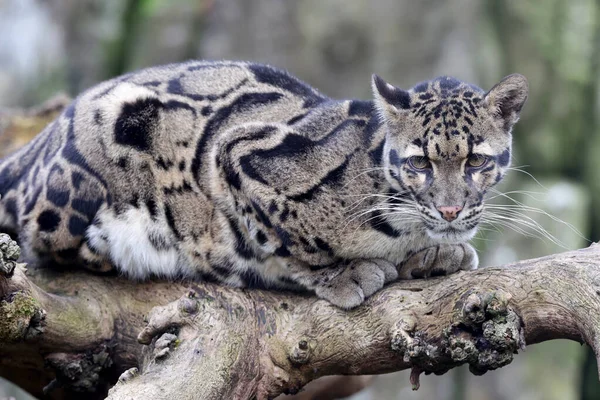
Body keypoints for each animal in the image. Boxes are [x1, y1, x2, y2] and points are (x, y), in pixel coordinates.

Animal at [0, 60, 528, 310]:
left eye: (477, 160)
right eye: (419, 162)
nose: (451, 211)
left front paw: (438, 253)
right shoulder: (234, 153)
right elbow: (284, 240)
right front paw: (343, 273)